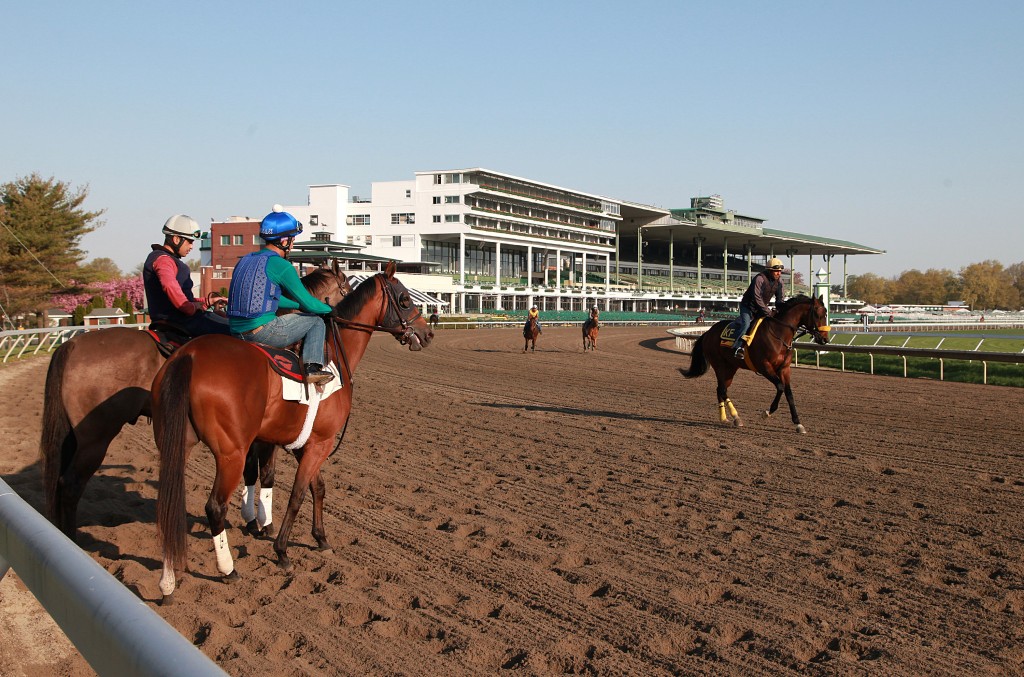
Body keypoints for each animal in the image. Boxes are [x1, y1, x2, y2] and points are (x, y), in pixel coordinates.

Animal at [38, 262, 352, 536]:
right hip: (96, 436)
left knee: (60, 481)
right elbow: (266, 474)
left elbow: (251, 473)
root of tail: (71, 345)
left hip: (75, 435)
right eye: (346, 288)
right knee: (71, 484)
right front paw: (265, 524)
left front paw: (254, 522)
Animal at [155, 260, 432, 602]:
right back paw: (228, 569)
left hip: (176, 444)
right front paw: (282, 550)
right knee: (214, 506)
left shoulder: (306, 444)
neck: (332, 356)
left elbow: (317, 487)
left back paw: (167, 582)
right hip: (231, 453)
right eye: (405, 299)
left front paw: (320, 538)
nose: (427, 332)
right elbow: (297, 494)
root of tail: (188, 356)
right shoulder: (319, 444)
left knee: (168, 503)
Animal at [679, 294, 831, 432]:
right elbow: (780, 387)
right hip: (719, 365)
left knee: (720, 389)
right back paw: (736, 417)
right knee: (722, 390)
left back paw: (724, 418)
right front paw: (767, 413)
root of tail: (708, 332)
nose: (824, 339)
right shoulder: (764, 366)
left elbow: (789, 393)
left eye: (826, 313)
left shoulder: (785, 369)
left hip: (730, 367)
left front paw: (798, 423)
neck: (778, 335)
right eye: (817, 314)